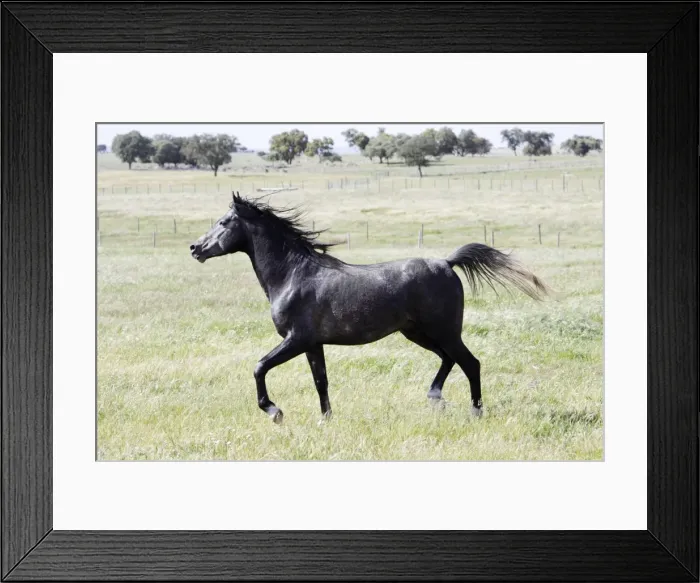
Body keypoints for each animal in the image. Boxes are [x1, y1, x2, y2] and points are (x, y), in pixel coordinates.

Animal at [190, 193, 550, 423]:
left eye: (224, 221)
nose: (195, 248)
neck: (293, 274)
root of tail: (446, 263)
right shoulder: (313, 344)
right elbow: (320, 382)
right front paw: (326, 420)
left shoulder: (296, 340)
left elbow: (259, 367)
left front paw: (275, 412)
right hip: (417, 333)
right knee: (449, 361)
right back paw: (435, 398)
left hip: (444, 332)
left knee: (470, 363)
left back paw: (475, 412)